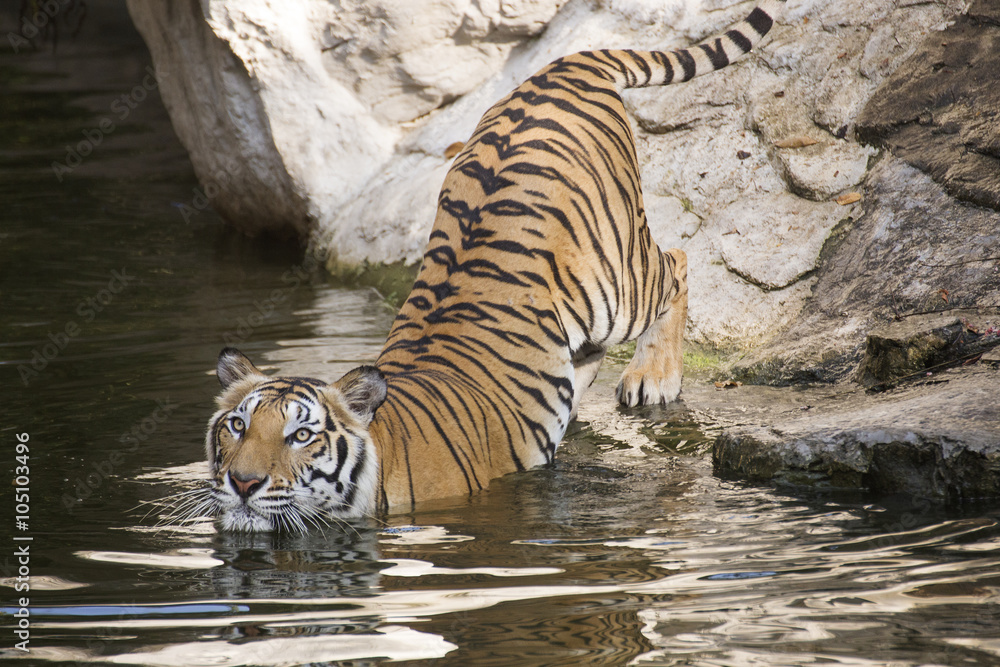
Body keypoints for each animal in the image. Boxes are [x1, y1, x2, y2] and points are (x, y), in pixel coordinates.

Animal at [186, 1, 782, 532]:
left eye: (301, 436)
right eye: (236, 425)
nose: (242, 483)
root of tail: (561, 69)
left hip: (615, 281)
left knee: (676, 263)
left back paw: (652, 380)